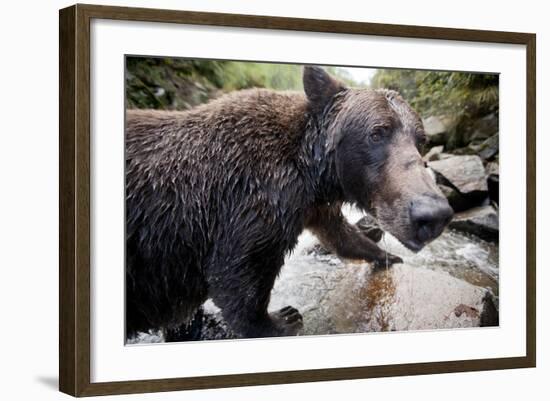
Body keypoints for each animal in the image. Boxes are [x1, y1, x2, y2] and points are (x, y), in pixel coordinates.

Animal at [127, 67, 454, 340]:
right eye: (377, 132)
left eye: (421, 140)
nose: (432, 214)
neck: (310, 170)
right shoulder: (252, 199)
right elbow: (238, 274)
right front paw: (282, 318)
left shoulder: (313, 206)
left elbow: (342, 236)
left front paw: (387, 255)